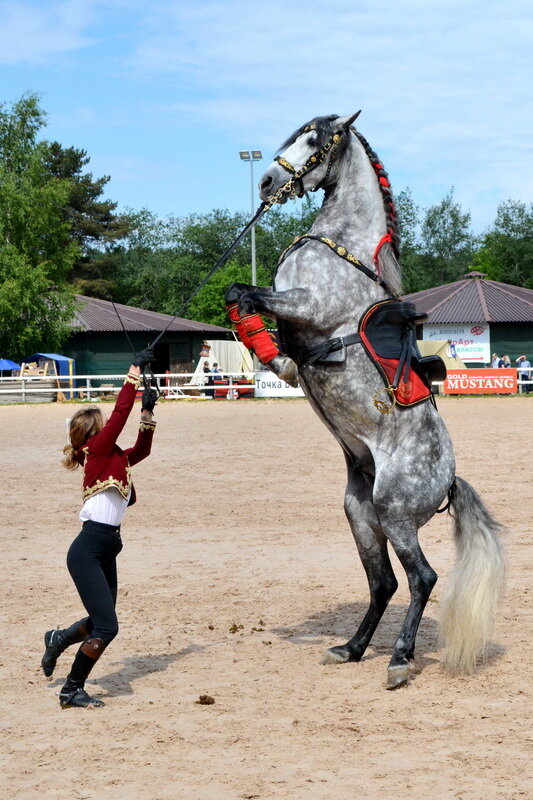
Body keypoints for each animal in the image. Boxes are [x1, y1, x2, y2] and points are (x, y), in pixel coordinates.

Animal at [228, 112, 502, 688]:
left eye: (313, 139)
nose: (266, 183)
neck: (338, 241)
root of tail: (448, 478)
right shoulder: (291, 335)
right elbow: (245, 310)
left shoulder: (309, 307)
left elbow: (248, 293)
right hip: (361, 510)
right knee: (384, 583)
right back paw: (352, 647)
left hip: (394, 510)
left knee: (422, 578)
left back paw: (399, 659)